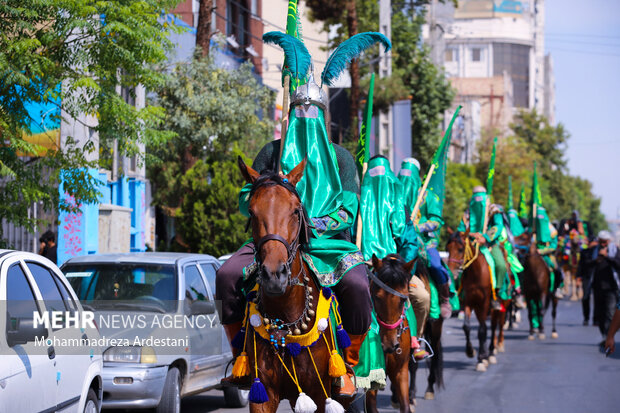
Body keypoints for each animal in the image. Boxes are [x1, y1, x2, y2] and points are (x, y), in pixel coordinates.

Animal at [366, 253, 414, 412]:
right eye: (376, 296)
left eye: (403, 299)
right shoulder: (372, 374)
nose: (389, 344)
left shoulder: (400, 370)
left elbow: (405, 406)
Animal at [444, 229, 506, 370]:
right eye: (447, 248)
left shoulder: (484, 302)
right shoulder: (469, 302)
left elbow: (482, 329)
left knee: (494, 326)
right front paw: (471, 351)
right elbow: (466, 327)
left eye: (461, 249)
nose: (451, 271)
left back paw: (490, 352)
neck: (476, 273)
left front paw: (482, 358)